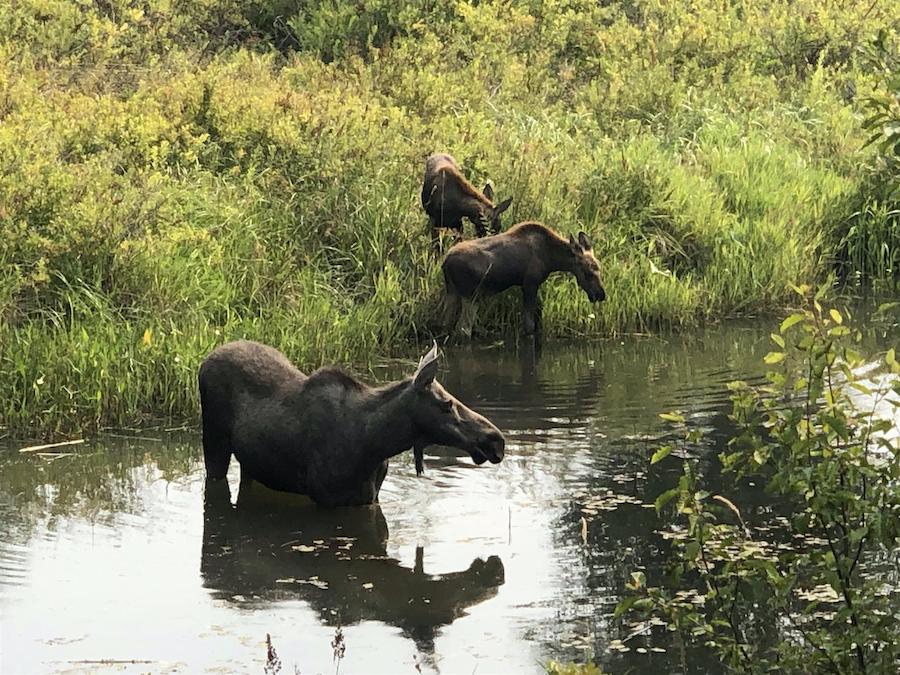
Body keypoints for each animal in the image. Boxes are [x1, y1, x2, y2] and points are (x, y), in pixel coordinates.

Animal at [199, 340, 506, 504]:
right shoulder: (326, 499)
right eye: (446, 404)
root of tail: (205, 359)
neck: (374, 444)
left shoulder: (370, 497)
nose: (496, 440)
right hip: (213, 443)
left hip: (250, 461)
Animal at [442, 223, 604, 336]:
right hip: (471, 295)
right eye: (588, 272)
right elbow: (529, 326)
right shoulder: (530, 283)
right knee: (463, 328)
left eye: (599, 269)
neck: (551, 258)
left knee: (445, 324)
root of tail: (445, 262)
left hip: (452, 292)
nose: (601, 295)